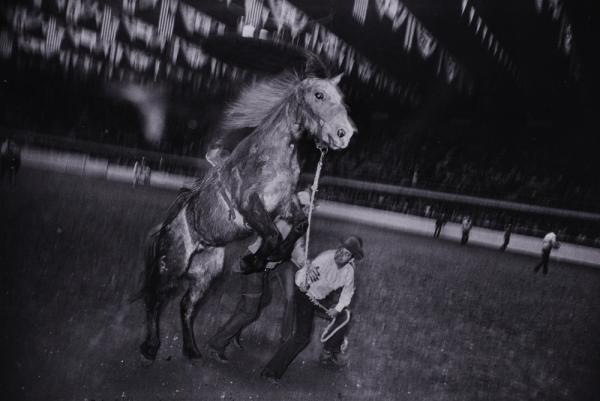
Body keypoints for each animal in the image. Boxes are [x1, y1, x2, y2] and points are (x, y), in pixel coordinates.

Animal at [139, 69, 356, 360]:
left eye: (341, 97)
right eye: (318, 94)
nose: (344, 133)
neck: (271, 156)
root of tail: (166, 227)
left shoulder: (285, 202)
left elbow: (298, 225)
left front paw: (271, 257)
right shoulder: (250, 204)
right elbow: (273, 235)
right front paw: (251, 262)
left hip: (206, 273)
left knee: (186, 305)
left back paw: (192, 349)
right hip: (173, 265)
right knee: (156, 299)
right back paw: (151, 347)